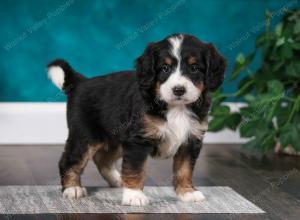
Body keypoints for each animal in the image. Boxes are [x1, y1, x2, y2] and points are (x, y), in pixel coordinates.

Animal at [47, 33, 225, 206]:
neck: (177, 108)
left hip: (116, 138)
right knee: (69, 161)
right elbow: (135, 169)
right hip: (85, 137)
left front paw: (187, 192)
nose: (179, 90)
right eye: (165, 68)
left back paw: (117, 180)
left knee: (102, 159)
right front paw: (134, 196)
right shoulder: (138, 140)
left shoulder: (190, 140)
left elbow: (184, 169)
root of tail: (81, 82)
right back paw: (72, 188)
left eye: (194, 68)